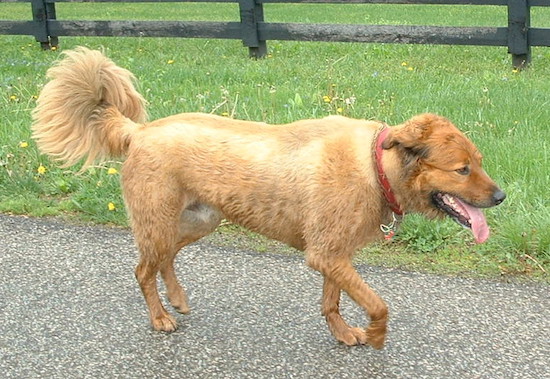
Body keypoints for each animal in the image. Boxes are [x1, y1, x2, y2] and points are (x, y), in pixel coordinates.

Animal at [29, 48, 504, 350]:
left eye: (479, 162)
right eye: (462, 169)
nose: (501, 196)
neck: (375, 166)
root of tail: (138, 131)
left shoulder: (335, 255)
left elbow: (332, 302)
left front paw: (342, 333)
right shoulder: (327, 255)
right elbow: (379, 305)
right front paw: (375, 336)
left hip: (199, 221)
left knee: (164, 260)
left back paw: (177, 299)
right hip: (158, 222)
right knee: (143, 269)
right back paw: (160, 316)